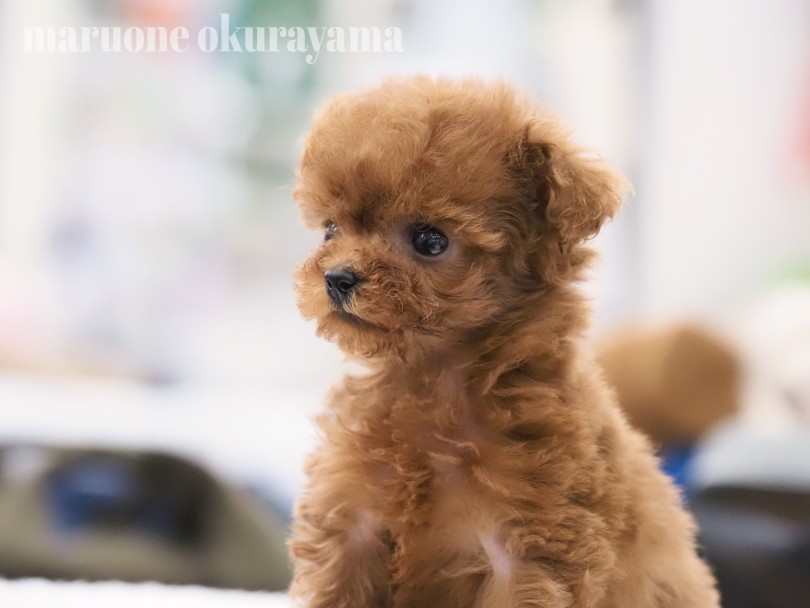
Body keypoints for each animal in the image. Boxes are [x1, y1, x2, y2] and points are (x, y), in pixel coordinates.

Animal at [288, 77, 716, 608]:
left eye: (430, 241)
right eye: (331, 229)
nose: (337, 278)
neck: (432, 383)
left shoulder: (528, 551)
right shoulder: (351, 523)